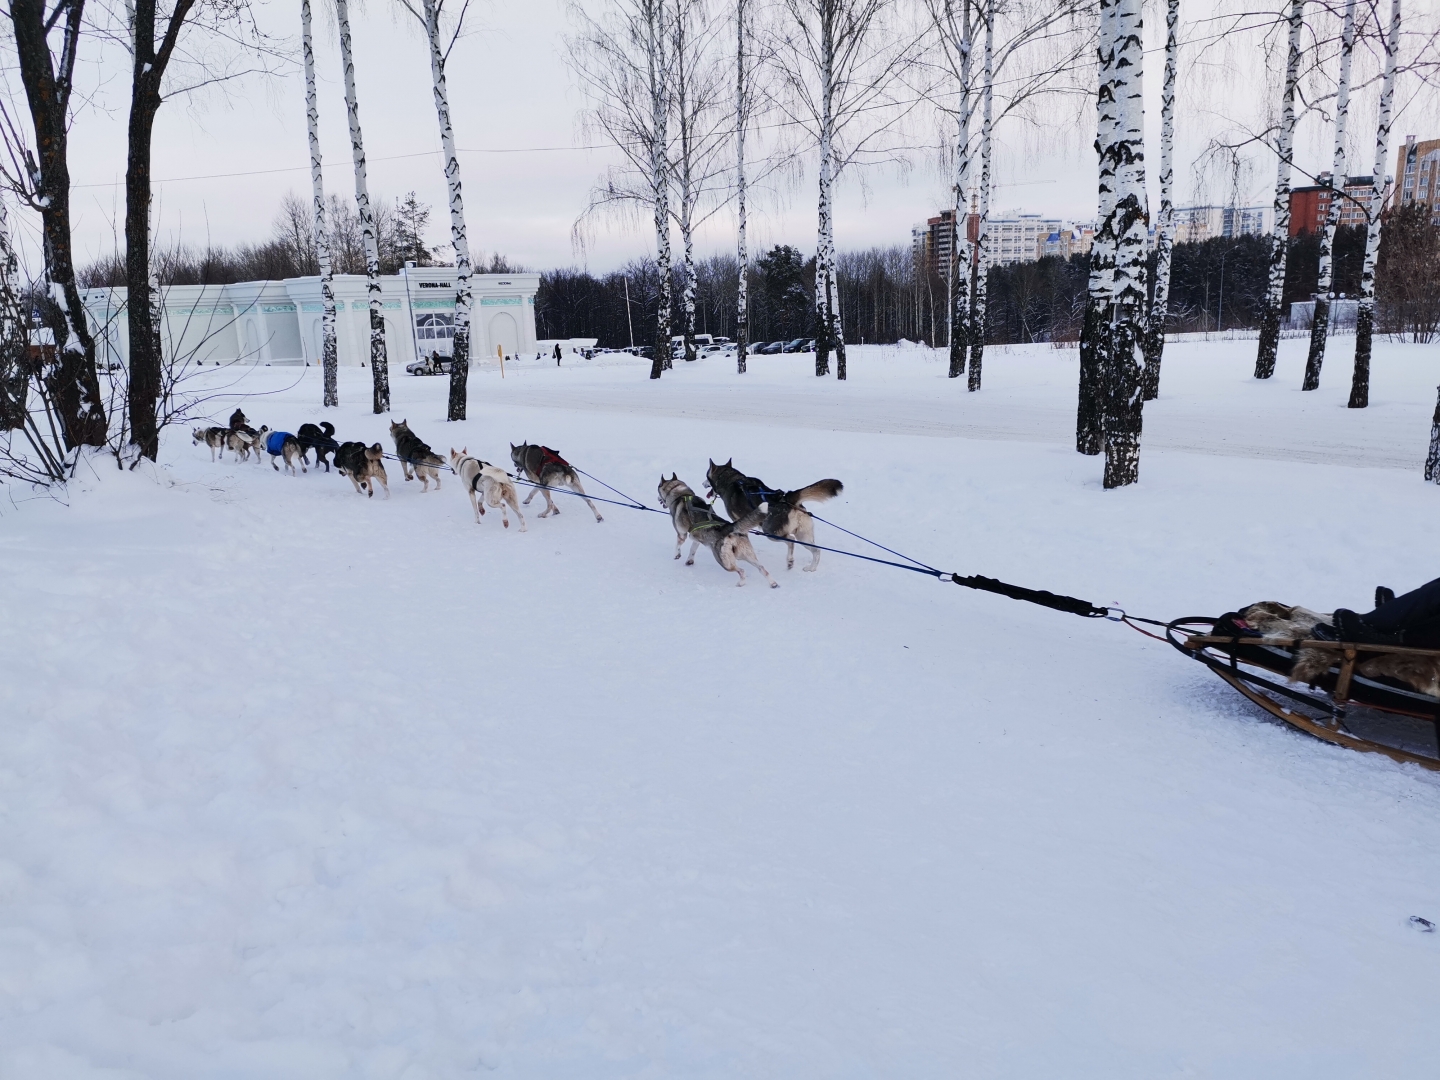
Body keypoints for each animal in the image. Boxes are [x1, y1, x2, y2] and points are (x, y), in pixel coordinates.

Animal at [708, 457, 840, 576]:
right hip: (803, 537)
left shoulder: (738, 521)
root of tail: (788, 500)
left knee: (791, 540)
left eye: (706, 477)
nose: (703, 484)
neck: (732, 479)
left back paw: (790, 561)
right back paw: (811, 568)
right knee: (816, 550)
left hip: (771, 532)